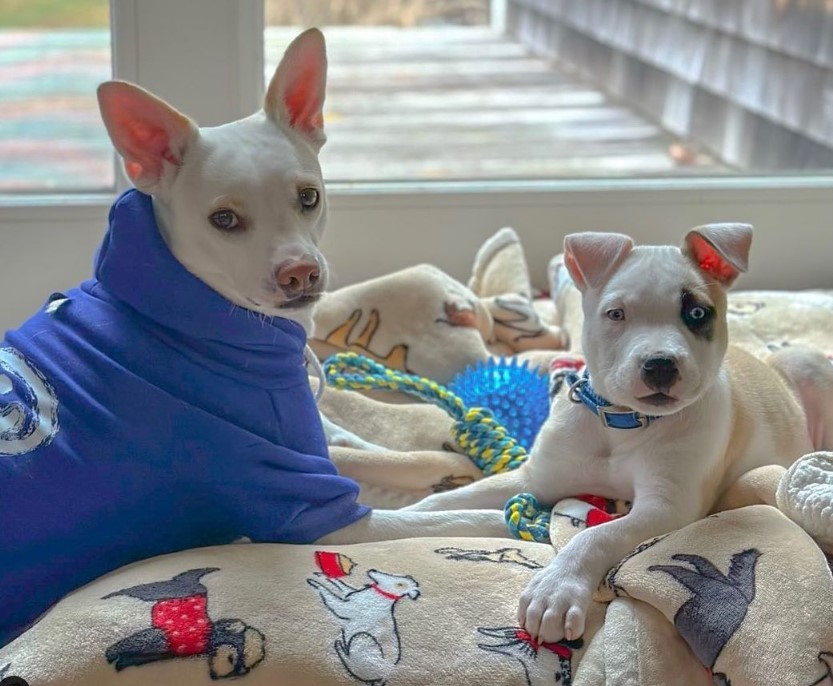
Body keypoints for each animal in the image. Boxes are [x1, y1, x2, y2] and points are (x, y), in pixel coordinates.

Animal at [406, 224, 832, 644]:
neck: (622, 422)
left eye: (696, 312)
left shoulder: (666, 506)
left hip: (805, 364)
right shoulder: (536, 479)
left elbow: (597, 536)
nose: (660, 365)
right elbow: (447, 500)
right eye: (616, 313)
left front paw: (556, 589)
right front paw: (399, 518)